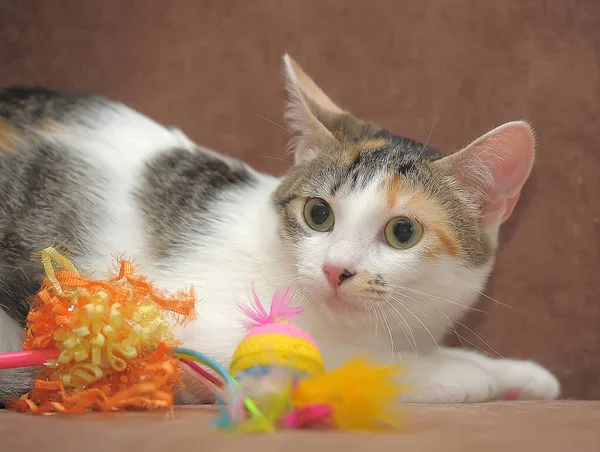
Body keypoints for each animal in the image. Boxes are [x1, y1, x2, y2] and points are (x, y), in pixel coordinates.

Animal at [0, 54, 556, 404]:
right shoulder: (187, 320)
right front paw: (456, 372)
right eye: (318, 214)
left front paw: (516, 373)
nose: (336, 269)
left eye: (403, 232)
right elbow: (322, 355)